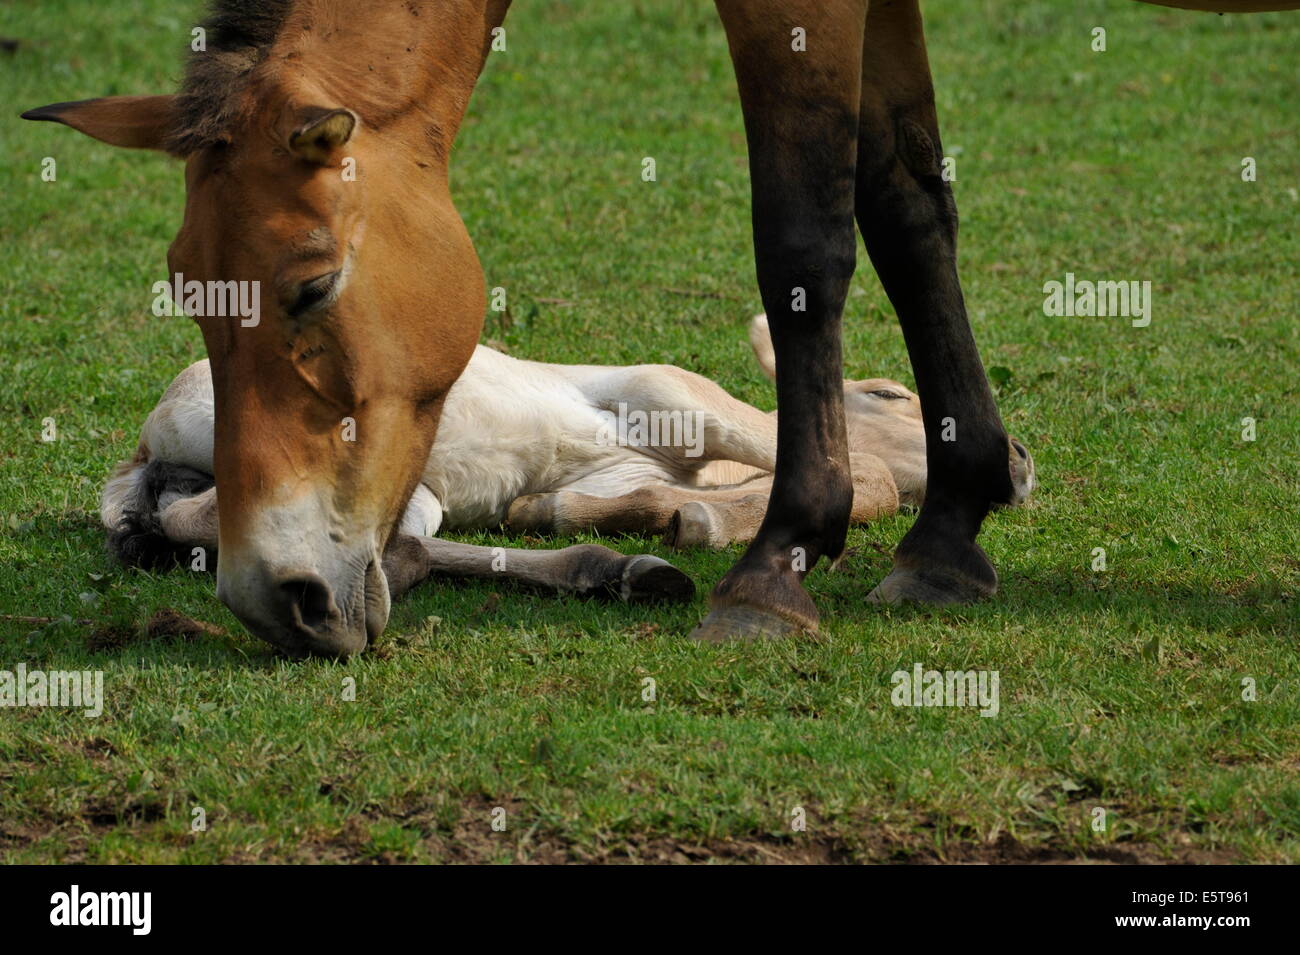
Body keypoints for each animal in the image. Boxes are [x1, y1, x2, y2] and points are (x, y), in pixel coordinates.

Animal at [23, 0, 1294, 655]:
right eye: (184, 287)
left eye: (308, 286)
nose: (266, 594)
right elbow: (901, 200)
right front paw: (926, 530)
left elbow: (810, 236)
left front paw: (789, 558)